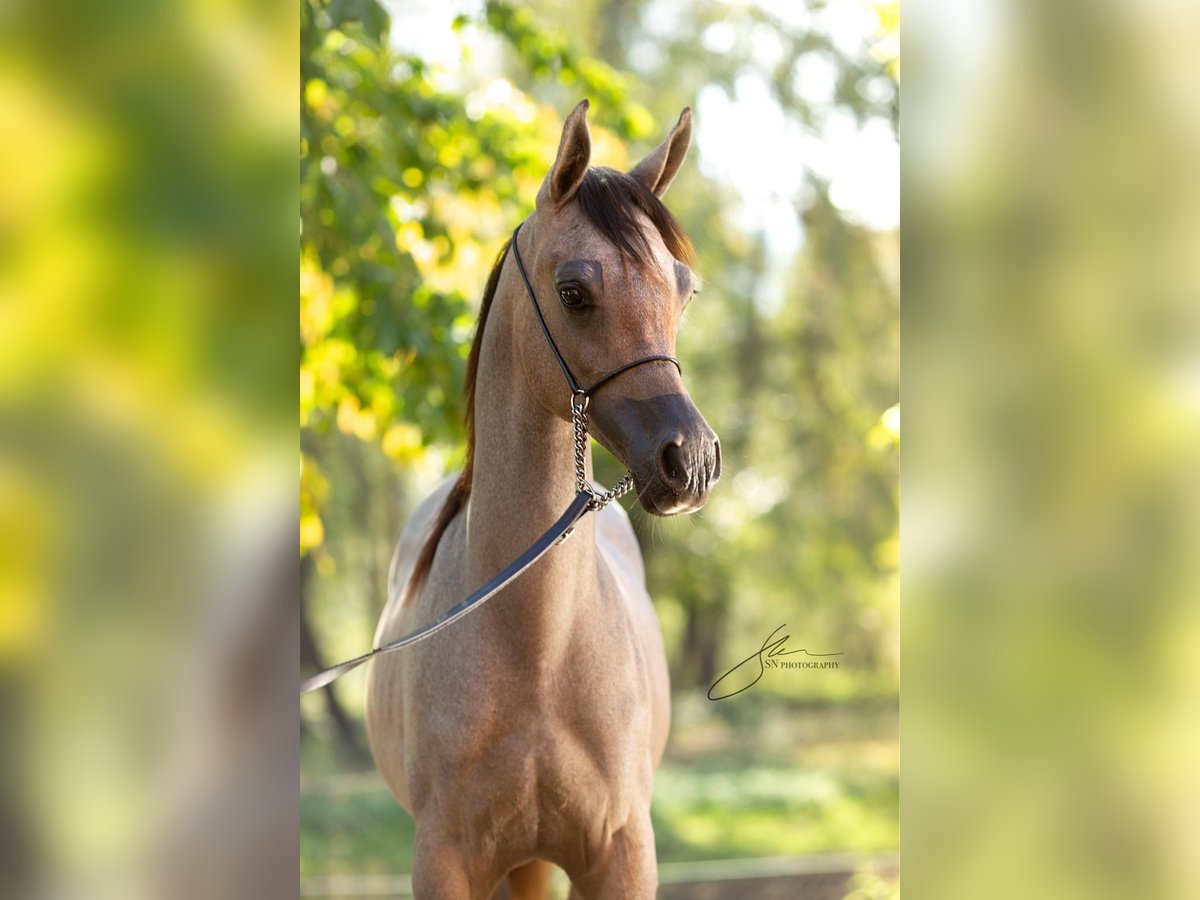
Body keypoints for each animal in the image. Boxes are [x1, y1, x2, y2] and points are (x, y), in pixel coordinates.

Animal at [364, 102, 720, 897]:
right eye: (573, 291)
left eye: (684, 288)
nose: (691, 460)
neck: (536, 655)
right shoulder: (444, 860)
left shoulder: (622, 853)